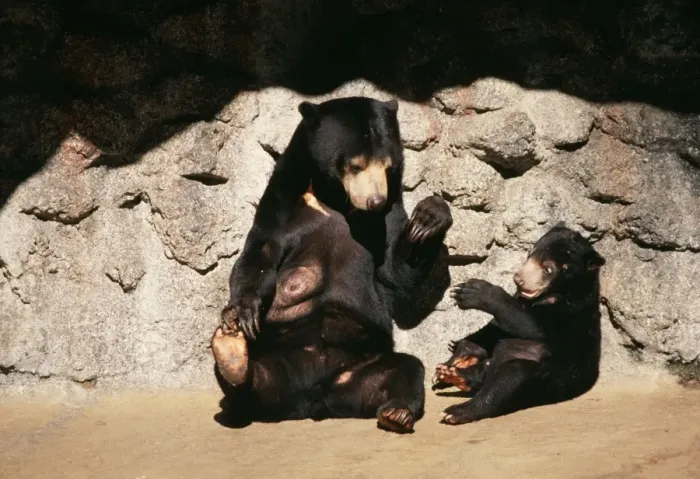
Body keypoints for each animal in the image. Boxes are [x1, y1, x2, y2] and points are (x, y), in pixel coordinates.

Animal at [213, 96, 453, 433]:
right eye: (355, 165)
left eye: (388, 166)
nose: (375, 202)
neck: (335, 199)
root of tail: (314, 399)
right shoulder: (281, 203)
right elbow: (258, 254)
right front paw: (243, 311)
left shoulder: (390, 212)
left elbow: (396, 274)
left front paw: (430, 218)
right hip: (279, 357)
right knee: (254, 384)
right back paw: (233, 359)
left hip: (362, 366)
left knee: (407, 368)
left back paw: (397, 411)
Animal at [432, 223, 605, 425]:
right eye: (530, 254)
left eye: (548, 269)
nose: (519, 280)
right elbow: (495, 327)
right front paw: (461, 352)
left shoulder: (572, 311)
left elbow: (530, 324)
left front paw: (473, 291)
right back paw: (452, 372)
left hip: (547, 379)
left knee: (506, 381)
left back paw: (457, 410)